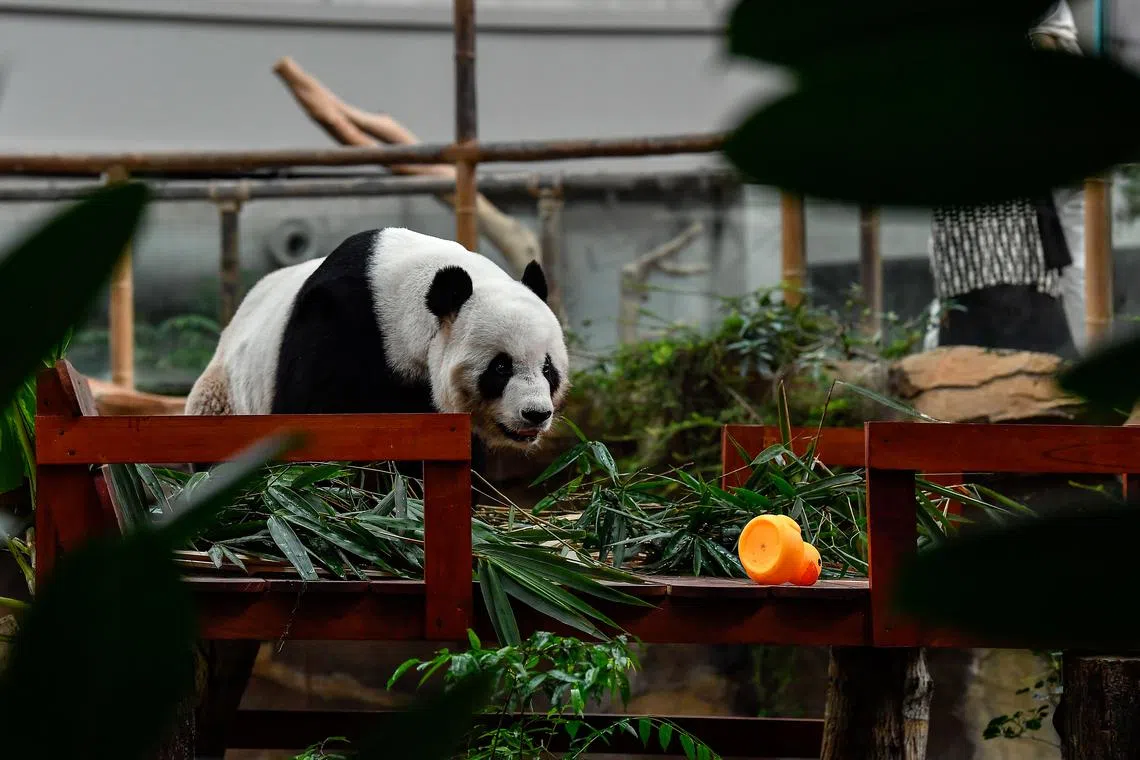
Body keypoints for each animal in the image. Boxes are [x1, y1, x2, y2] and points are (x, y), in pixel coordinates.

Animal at [185, 226, 570, 487]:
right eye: (500, 367)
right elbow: (312, 423)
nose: (536, 414)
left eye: (548, 368)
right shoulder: (336, 324)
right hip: (224, 400)